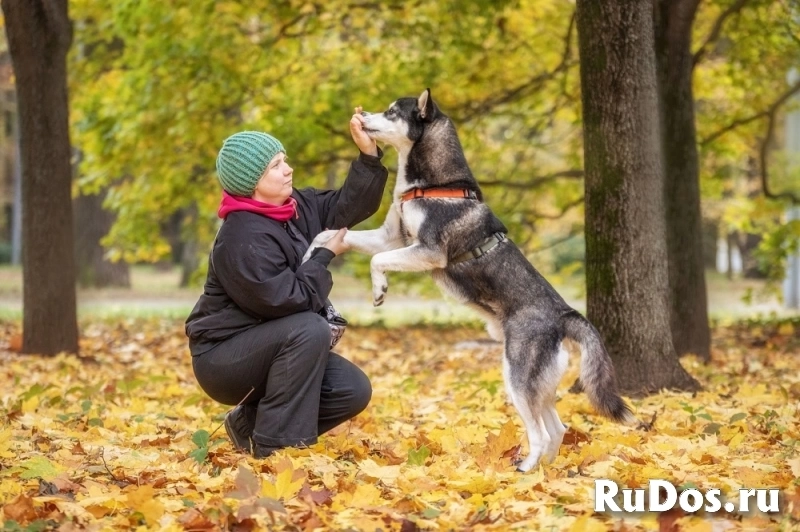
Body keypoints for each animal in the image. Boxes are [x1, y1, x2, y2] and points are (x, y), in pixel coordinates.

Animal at [306, 89, 636, 472]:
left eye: (391, 112)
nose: (361, 117)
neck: (433, 186)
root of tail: (565, 314)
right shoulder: (391, 237)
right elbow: (329, 234)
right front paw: (308, 255)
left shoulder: (427, 251)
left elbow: (377, 261)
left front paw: (379, 289)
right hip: (539, 385)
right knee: (558, 429)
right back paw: (543, 473)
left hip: (517, 377)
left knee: (540, 434)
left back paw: (524, 471)